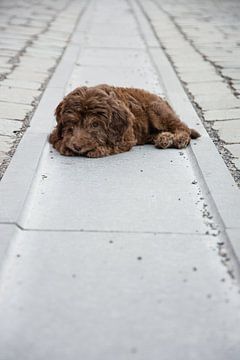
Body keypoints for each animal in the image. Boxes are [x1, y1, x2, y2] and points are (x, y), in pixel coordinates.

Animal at [49, 85, 200, 158]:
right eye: (71, 124)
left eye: (95, 125)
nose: (77, 147)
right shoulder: (54, 133)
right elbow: (57, 140)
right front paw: (65, 146)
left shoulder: (126, 138)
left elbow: (114, 145)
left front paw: (98, 149)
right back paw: (164, 138)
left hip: (157, 111)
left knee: (182, 127)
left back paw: (177, 138)